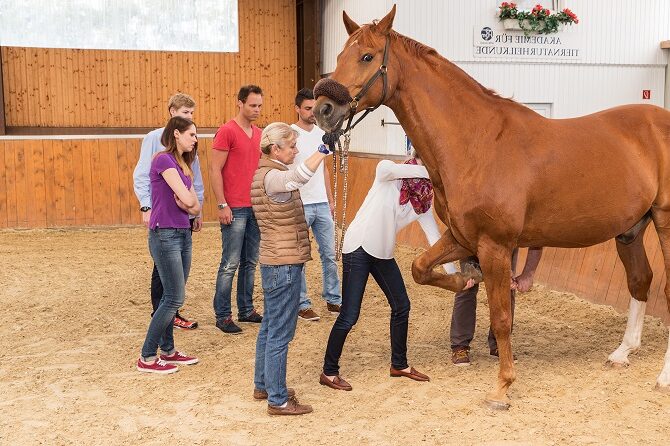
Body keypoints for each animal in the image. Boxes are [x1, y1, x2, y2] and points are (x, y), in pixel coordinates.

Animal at [316, 5, 670, 410]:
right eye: (339, 56)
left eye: (367, 57)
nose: (324, 109)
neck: (477, 141)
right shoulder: (462, 238)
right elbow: (420, 268)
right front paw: (464, 279)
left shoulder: (494, 245)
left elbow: (502, 318)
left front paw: (503, 386)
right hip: (630, 230)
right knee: (640, 280)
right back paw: (622, 353)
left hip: (664, 222)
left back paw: (663, 377)